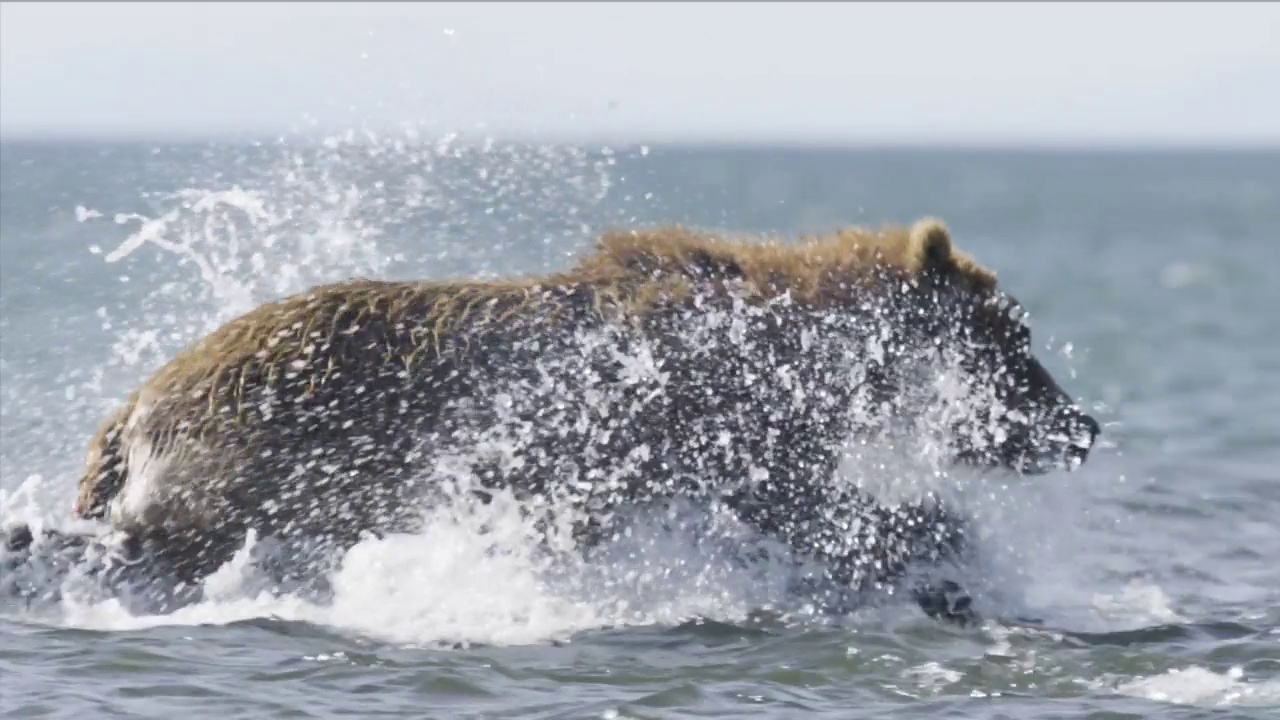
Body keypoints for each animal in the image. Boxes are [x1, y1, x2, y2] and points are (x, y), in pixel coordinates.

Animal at [45, 215, 1095, 614]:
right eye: (1016, 342)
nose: (1081, 428)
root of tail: (132, 403)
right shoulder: (691, 421)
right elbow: (823, 510)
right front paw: (941, 559)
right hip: (257, 456)